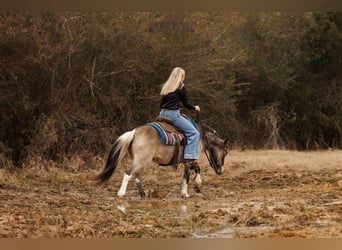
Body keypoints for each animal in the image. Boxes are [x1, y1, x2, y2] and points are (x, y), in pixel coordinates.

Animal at [95, 116, 228, 198]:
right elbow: (191, 173)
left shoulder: (188, 161)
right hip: (141, 161)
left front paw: (189, 191)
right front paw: (192, 189)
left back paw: (143, 194)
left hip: (140, 162)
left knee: (137, 176)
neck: (200, 136)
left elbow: (190, 173)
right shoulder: (190, 160)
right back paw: (121, 193)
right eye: (225, 152)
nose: (221, 170)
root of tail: (134, 132)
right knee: (128, 173)